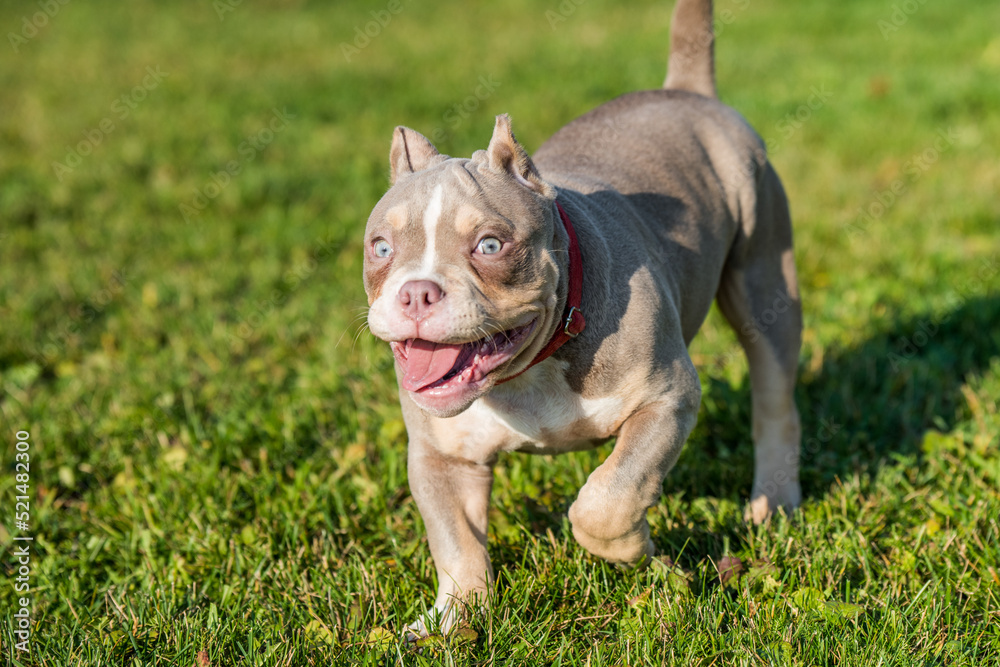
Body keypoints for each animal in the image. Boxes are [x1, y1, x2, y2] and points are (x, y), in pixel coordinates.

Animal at [360, 0, 804, 636]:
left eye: (490, 246)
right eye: (381, 248)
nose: (417, 292)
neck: (529, 370)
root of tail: (683, 91)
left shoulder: (665, 397)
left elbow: (608, 497)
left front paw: (639, 553)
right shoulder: (441, 455)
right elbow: (456, 541)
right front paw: (452, 622)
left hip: (766, 275)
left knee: (773, 396)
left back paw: (773, 502)